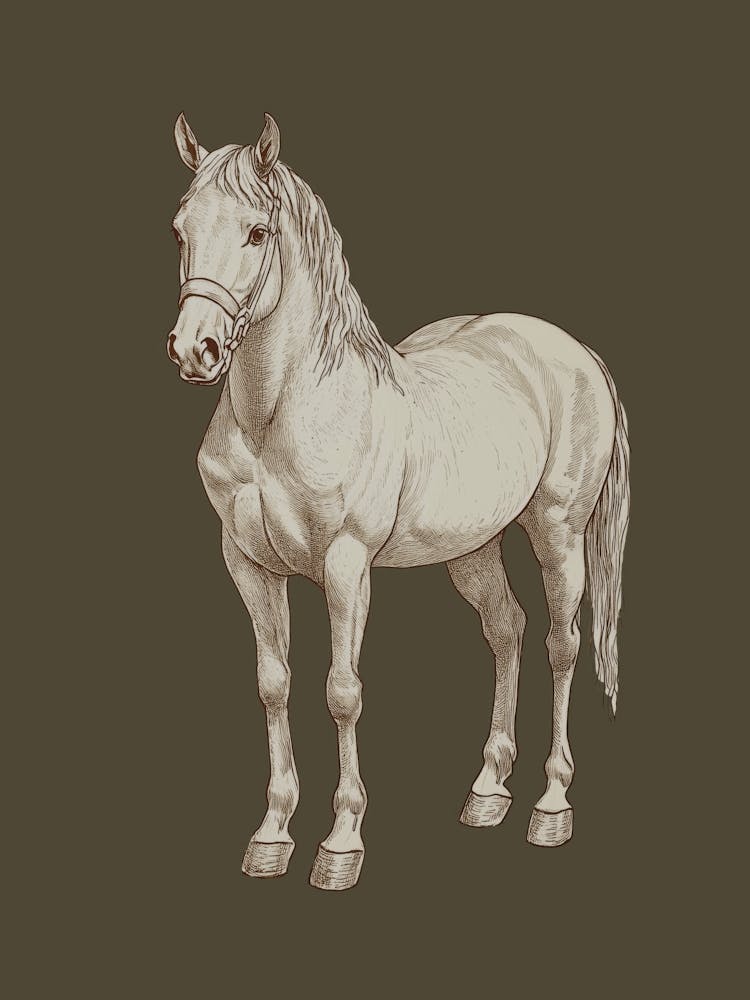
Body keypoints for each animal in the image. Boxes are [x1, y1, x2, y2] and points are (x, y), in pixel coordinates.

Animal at [165, 112, 630, 891]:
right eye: (180, 228)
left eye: (258, 232)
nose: (193, 350)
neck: (281, 414)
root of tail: (574, 353)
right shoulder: (247, 567)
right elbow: (273, 685)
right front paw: (271, 835)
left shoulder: (346, 567)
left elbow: (341, 691)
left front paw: (341, 843)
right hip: (472, 549)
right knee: (506, 629)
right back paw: (487, 791)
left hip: (558, 533)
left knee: (561, 643)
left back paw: (550, 805)